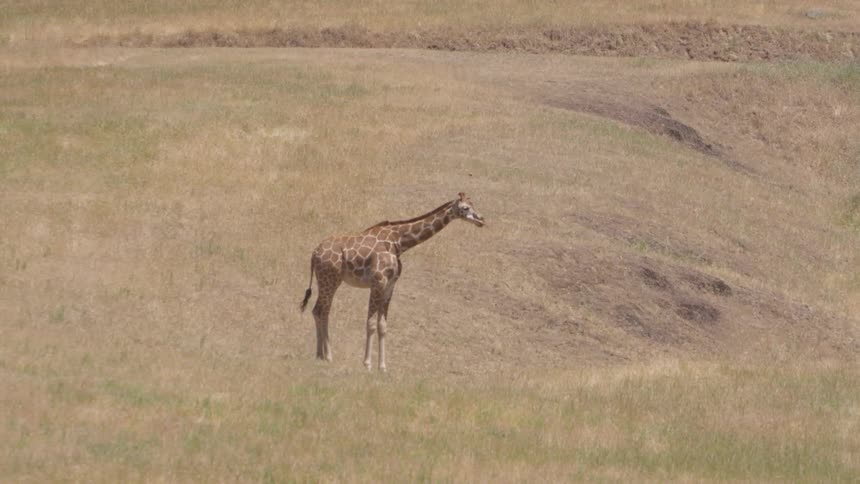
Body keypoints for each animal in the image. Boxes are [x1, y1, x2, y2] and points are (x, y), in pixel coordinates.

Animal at [300, 192, 485, 371]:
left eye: (473, 204)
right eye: (466, 207)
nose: (481, 219)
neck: (400, 242)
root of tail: (314, 254)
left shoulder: (390, 285)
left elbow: (383, 326)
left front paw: (382, 367)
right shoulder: (378, 282)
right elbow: (371, 323)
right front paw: (367, 364)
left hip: (325, 280)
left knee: (318, 310)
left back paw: (319, 355)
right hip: (331, 279)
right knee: (323, 311)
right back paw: (328, 356)